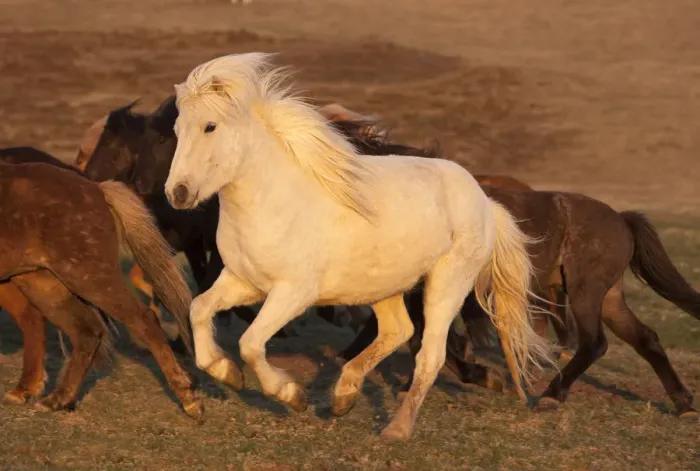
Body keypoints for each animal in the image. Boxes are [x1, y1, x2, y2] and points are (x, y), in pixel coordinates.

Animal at [0, 154, 201, 419]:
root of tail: (97, 189)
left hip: (89, 278)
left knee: (143, 321)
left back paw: (189, 399)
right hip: (43, 282)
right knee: (84, 331)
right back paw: (56, 399)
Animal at [163, 52, 553, 441]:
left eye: (210, 126)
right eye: (177, 130)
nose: (177, 193)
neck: (274, 201)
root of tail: (486, 202)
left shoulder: (293, 293)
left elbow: (250, 343)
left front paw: (291, 394)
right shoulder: (244, 281)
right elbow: (199, 309)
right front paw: (225, 371)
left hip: (447, 285)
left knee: (429, 356)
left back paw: (396, 428)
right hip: (383, 286)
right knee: (398, 331)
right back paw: (344, 395)